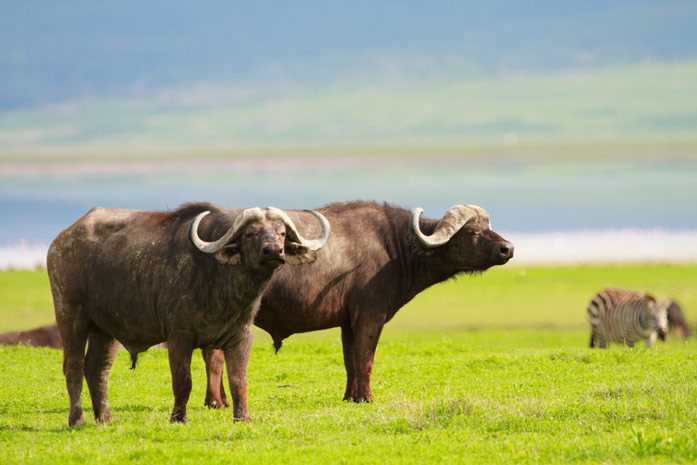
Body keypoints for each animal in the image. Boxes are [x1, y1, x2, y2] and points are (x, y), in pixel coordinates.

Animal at [47, 201, 330, 426]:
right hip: (70, 317)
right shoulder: (179, 337)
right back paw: (77, 419)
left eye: (281, 233)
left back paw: (105, 418)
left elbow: (238, 380)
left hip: (104, 330)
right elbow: (183, 381)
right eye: (250, 233)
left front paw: (243, 417)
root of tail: (60, 241)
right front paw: (178, 418)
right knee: (73, 366)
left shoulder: (240, 336)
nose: (273, 251)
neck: (219, 280)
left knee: (97, 368)